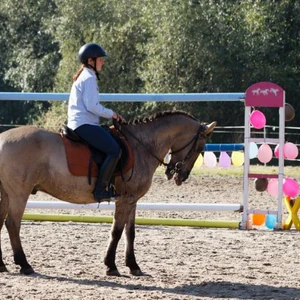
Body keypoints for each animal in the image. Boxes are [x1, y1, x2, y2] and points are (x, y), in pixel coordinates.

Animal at [0, 110, 216, 276]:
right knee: (12, 224)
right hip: (19, 194)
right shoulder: (125, 200)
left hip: (6, 194)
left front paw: (133, 266)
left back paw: (2, 265)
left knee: (1, 222)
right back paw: (24, 264)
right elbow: (117, 231)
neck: (142, 145)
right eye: (199, 147)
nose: (180, 175)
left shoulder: (132, 200)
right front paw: (111, 266)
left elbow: (130, 232)